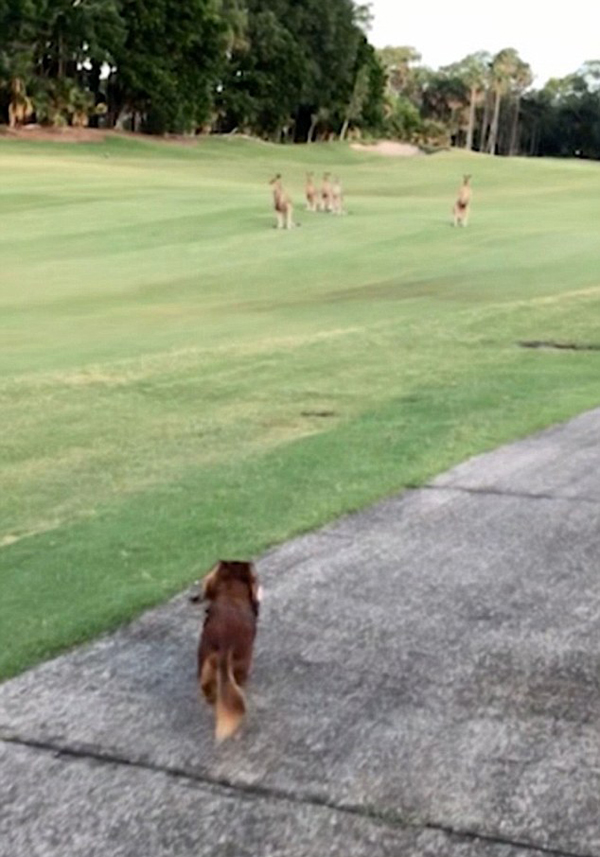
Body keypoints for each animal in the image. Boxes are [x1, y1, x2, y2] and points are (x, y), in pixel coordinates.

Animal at [197, 560, 260, 740]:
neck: (232, 593)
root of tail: (225, 643)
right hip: (243, 663)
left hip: (205, 659)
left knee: (206, 685)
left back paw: (210, 698)